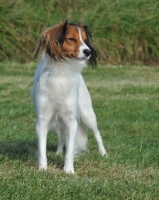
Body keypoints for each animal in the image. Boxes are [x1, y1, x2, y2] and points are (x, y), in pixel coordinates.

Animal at [30, 20, 107, 173]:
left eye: (85, 40)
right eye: (71, 39)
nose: (88, 52)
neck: (61, 72)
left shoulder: (71, 121)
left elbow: (70, 150)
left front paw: (69, 170)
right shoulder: (42, 120)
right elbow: (42, 149)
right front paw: (42, 169)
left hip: (88, 115)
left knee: (97, 134)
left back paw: (103, 154)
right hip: (56, 122)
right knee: (61, 136)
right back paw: (58, 152)